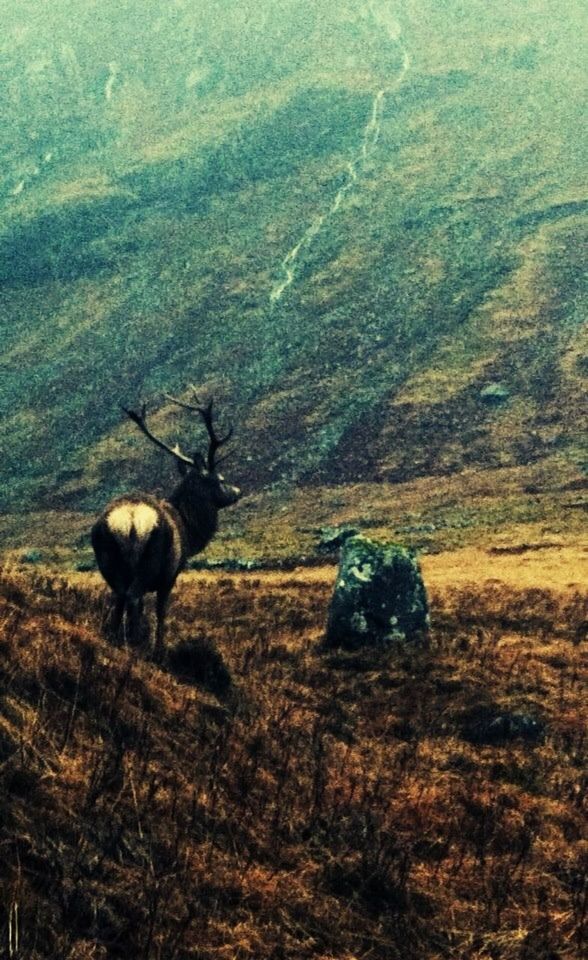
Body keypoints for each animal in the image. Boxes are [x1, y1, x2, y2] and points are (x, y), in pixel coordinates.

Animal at [90, 394, 241, 656]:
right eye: (220, 480)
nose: (237, 491)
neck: (190, 531)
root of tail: (130, 518)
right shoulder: (170, 575)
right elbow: (161, 612)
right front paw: (160, 649)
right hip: (150, 561)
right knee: (132, 597)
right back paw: (138, 645)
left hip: (107, 558)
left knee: (119, 597)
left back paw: (116, 640)